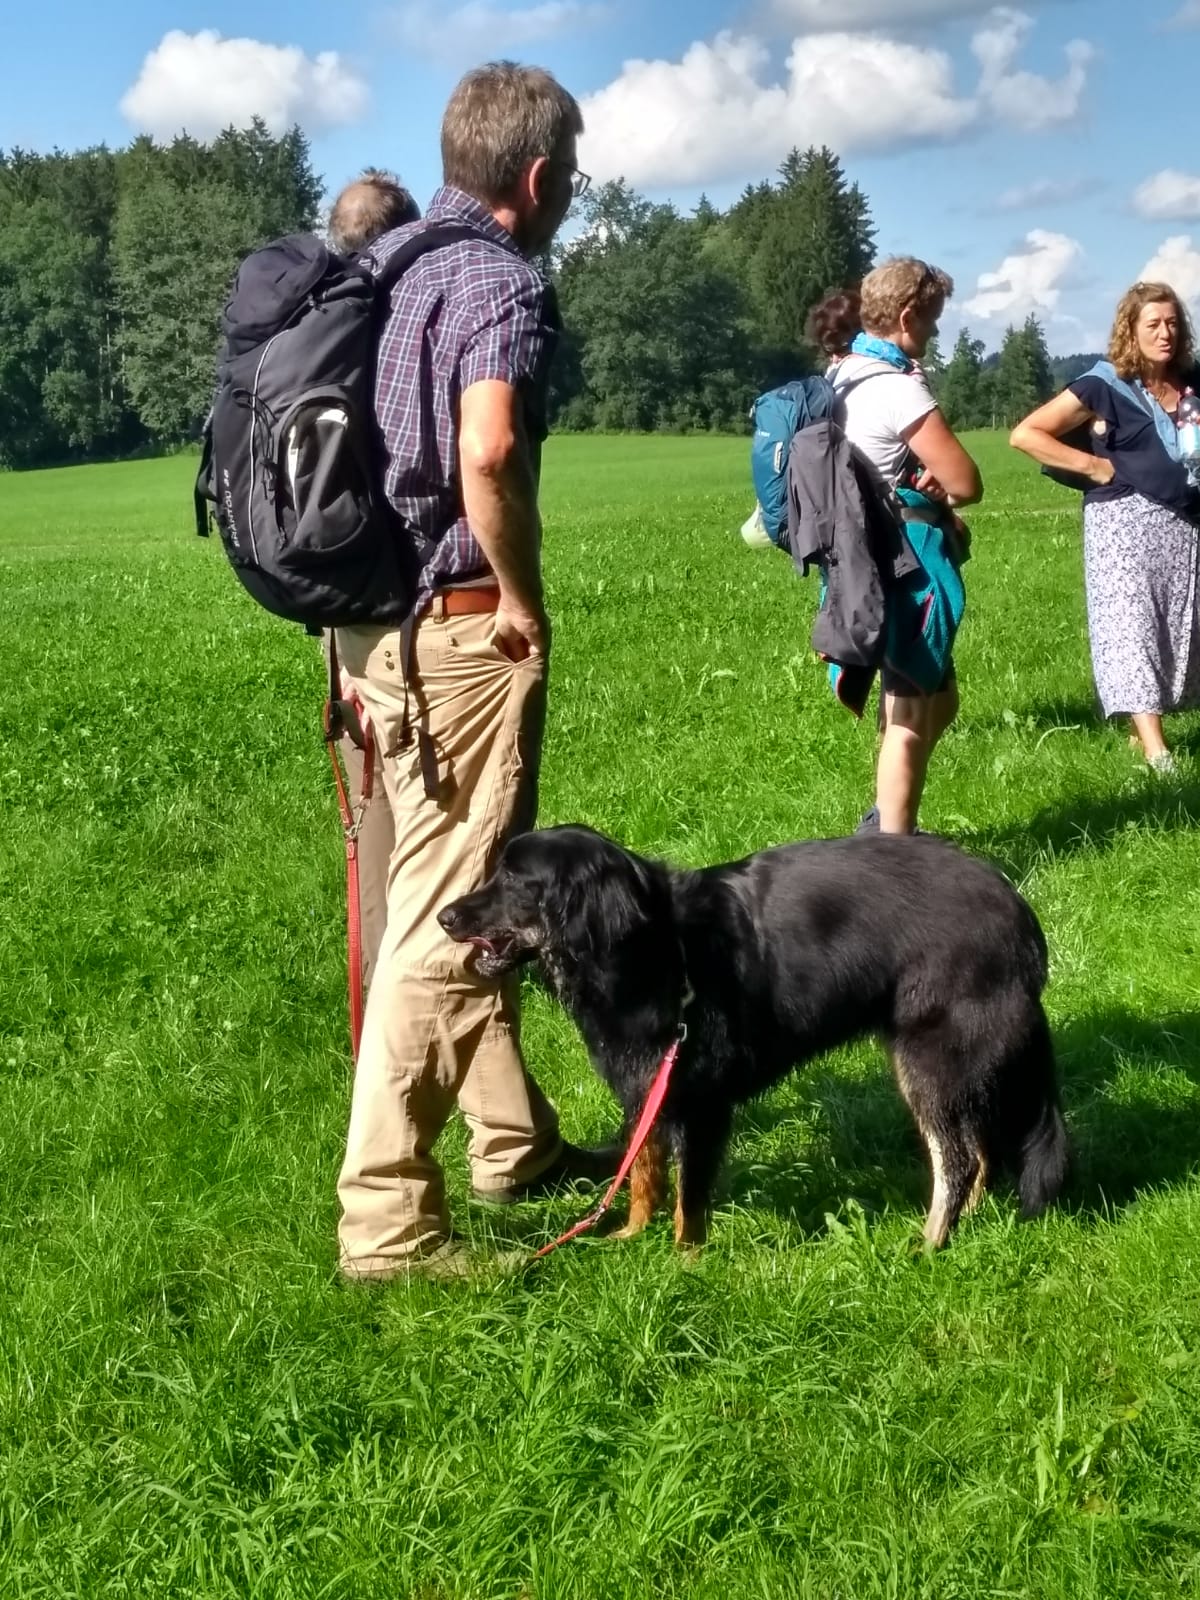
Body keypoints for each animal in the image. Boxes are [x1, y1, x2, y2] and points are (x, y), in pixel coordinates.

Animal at [438, 825, 1068, 1248]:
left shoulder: (700, 1102)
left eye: (515, 880)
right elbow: (643, 1170)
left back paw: (929, 1245)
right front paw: (629, 1238)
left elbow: (689, 1197)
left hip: (929, 1059)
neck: (651, 947)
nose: (443, 917)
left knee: (956, 1159)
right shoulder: (646, 1086)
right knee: (978, 1149)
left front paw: (682, 1264)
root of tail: (1019, 912)